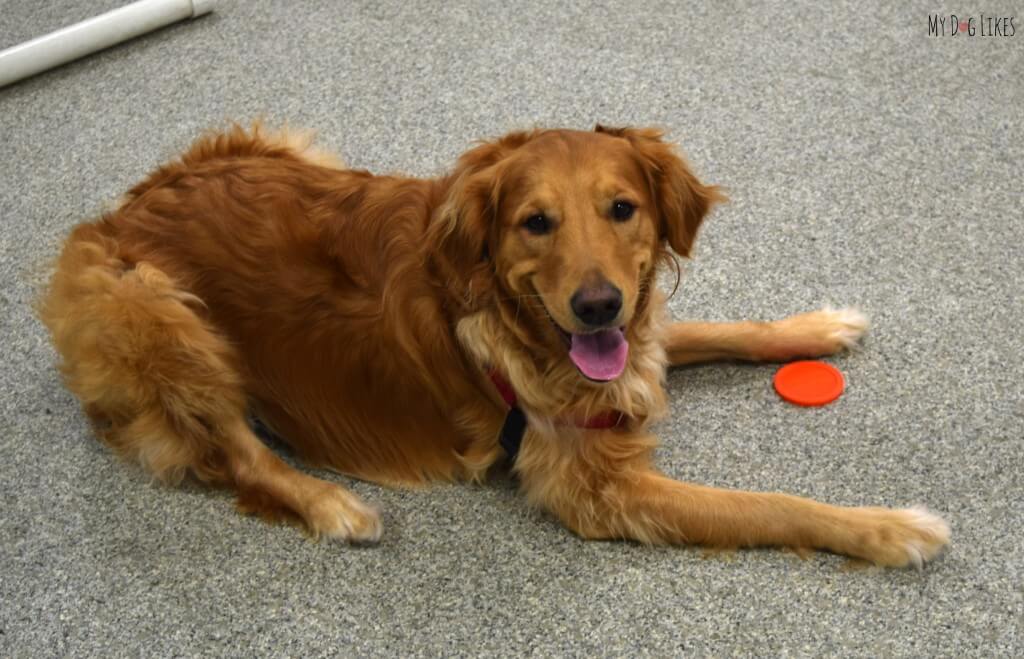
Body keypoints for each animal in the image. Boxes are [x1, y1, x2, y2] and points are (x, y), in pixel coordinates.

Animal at [39, 123, 950, 564]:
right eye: (534, 222)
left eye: (622, 208)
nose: (595, 304)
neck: (513, 324)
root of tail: (117, 213)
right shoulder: (595, 488)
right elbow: (770, 504)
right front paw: (889, 529)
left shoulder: (631, 340)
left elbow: (711, 329)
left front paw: (816, 326)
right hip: (159, 313)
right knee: (235, 452)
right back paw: (333, 506)